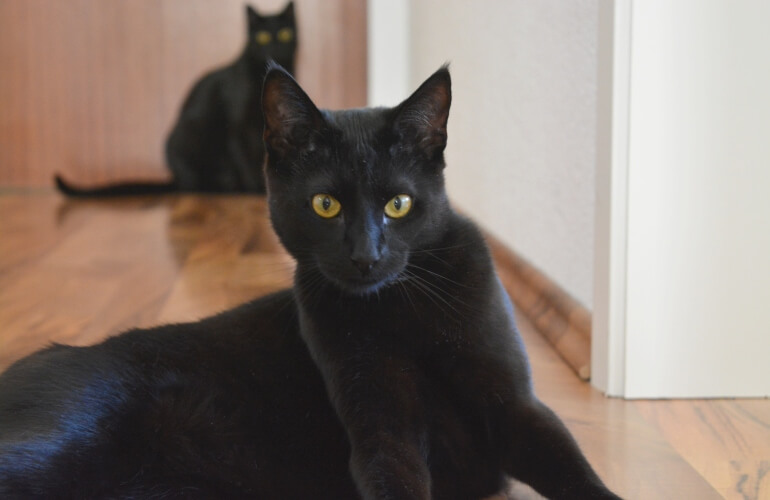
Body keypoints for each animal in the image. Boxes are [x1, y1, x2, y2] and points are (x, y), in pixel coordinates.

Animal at [0, 64, 620, 498]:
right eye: (325, 205)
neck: (400, 312)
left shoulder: (518, 407)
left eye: (398, 205)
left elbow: (576, 473)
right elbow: (395, 475)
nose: (366, 256)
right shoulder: (381, 430)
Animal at [55, 2, 296, 196]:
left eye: (285, 34)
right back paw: (224, 186)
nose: (275, 46)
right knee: (195, 185)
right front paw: (254, 189)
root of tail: (175, 179)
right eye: (262, 37)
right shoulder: (237, 126)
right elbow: (244, 157)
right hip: (186, 137)